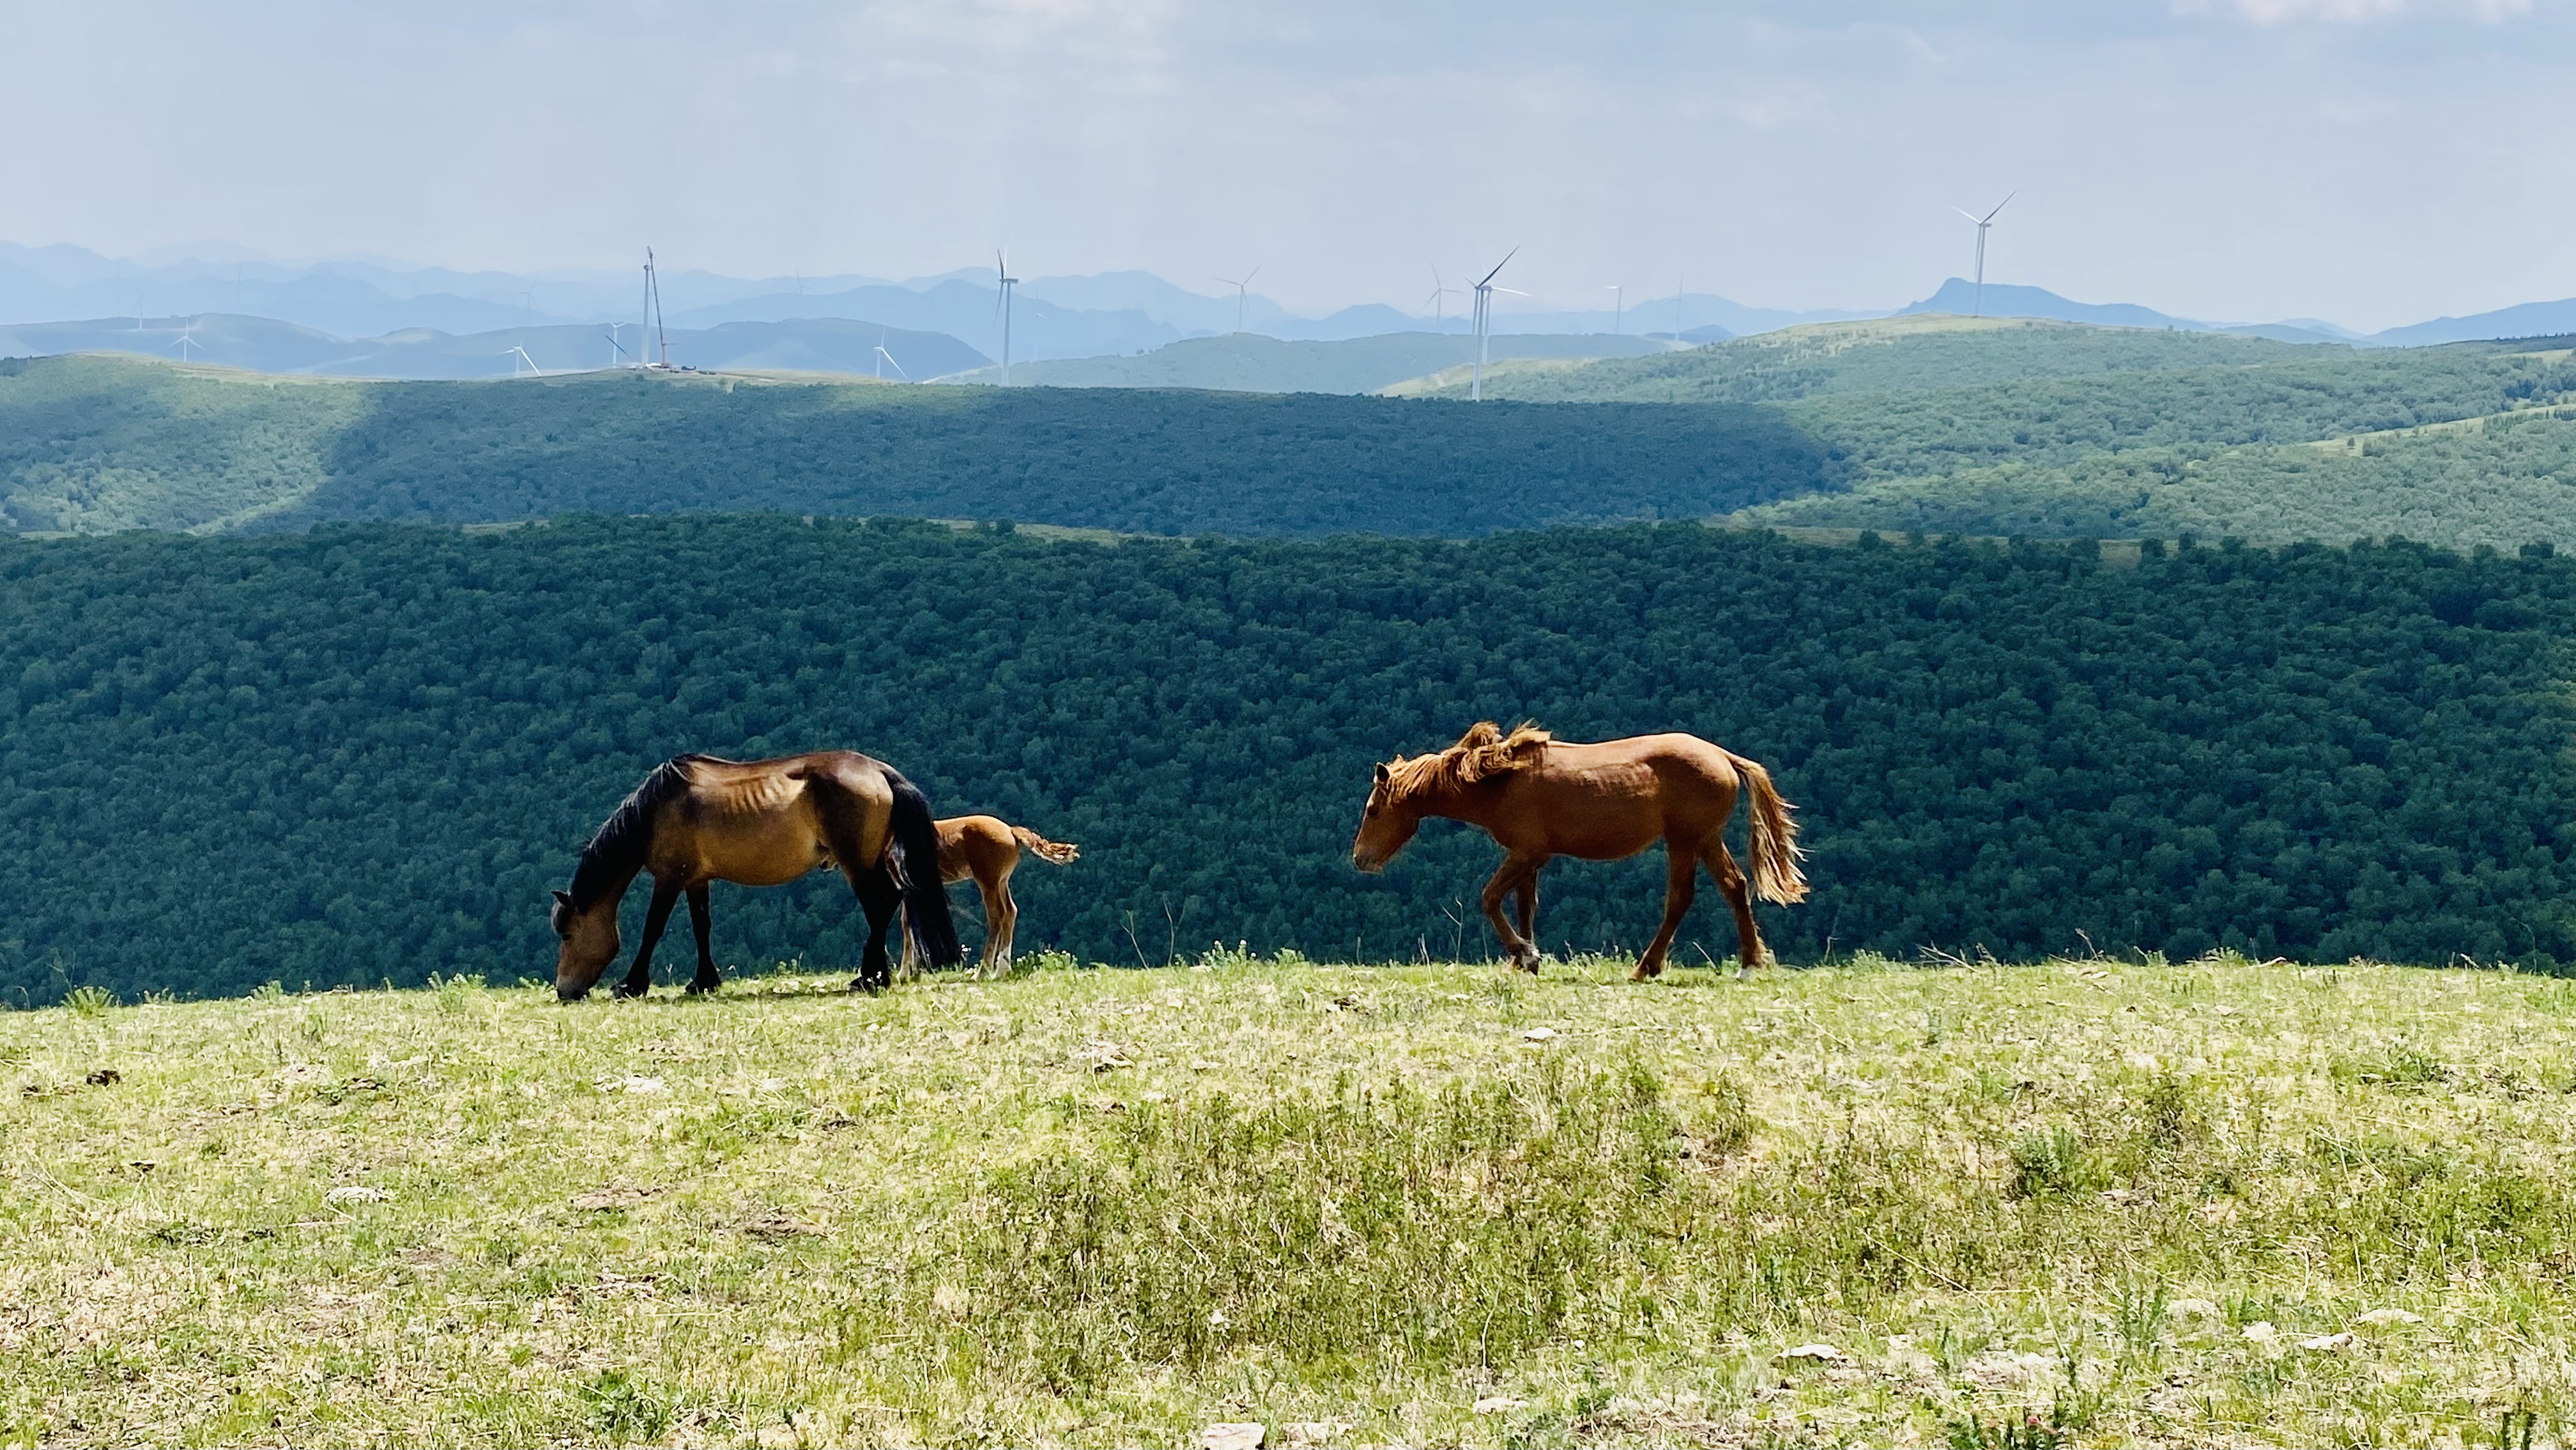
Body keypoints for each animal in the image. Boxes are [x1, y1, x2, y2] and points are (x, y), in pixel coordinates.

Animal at [553, 746, 969, 999]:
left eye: (569, 935)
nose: (564, 991)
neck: (658, 809)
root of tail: (879, 771)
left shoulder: (669, 878)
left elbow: (652, 929)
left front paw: (631, 985)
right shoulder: (696, 880)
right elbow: (702, 928)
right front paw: (704, 982)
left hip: (858, 864)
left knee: (880, 905)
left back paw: (869, 977)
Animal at [901, 819, 1082, 989]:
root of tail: (1011, 830)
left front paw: (905, 973)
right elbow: (908, 922)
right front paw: (909, 973)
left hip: (988, 880)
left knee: (997, 916)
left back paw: (983, 972)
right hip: (1001, 881)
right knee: (1010, 911)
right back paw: (1002, 970)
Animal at [1349, 721, 1813, 983]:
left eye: (1373, 810)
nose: (1360, 859)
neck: (1500, 781)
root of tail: (1723, 756)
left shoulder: (1526, 852)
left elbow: (1490, 899)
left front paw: (1523, 953)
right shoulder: (1532, 857)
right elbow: (1525, 906)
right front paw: (1526, 960)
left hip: (1687, 840)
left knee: (1685, 898)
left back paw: (1651, 967)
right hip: (1702, 839)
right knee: (1733, 887)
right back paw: (1742, 963)